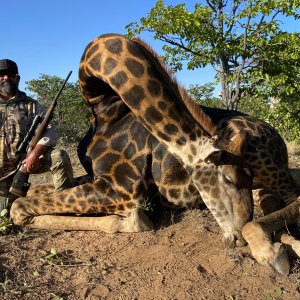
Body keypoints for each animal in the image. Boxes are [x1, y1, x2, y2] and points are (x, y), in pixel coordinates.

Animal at [9, 32, 253, 250]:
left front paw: (136, 220)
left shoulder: (124, 190)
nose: (241, 238)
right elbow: (32, 193)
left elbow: (18, 206)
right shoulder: (95, 176)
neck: (102, 108)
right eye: (229, 179)